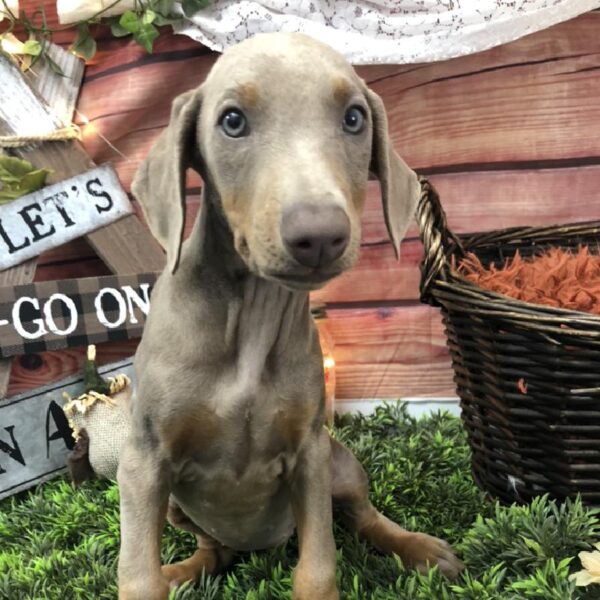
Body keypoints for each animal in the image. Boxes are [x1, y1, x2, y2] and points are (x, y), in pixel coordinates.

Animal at [118, 32, 464, 600]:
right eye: (232, 120)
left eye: (354, 118)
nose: (319, 236)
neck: (251, 315)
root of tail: (262, 545)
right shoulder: (143, 461)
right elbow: (138, 574)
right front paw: (157, 575)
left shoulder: (310, 453)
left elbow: (319, 563)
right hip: (176, 507)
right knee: (215, 549)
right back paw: (185, 571)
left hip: (340, 461)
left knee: (362, 517)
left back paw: (418, 548)